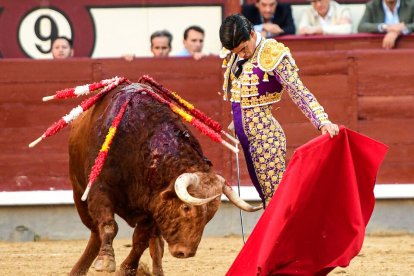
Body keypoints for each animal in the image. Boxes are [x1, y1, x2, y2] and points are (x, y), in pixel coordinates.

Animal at [69, 82, 260, 276]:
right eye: (186, 207)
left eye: (210, 215)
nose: (185, 253)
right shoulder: (100, 189)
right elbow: (108, 226)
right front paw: (106, 261)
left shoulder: (153, 205)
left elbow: (140, 240)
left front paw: (126, 269)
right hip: (78, 191)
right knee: (94, 230)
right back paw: (79, 269)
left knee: (155, 243)